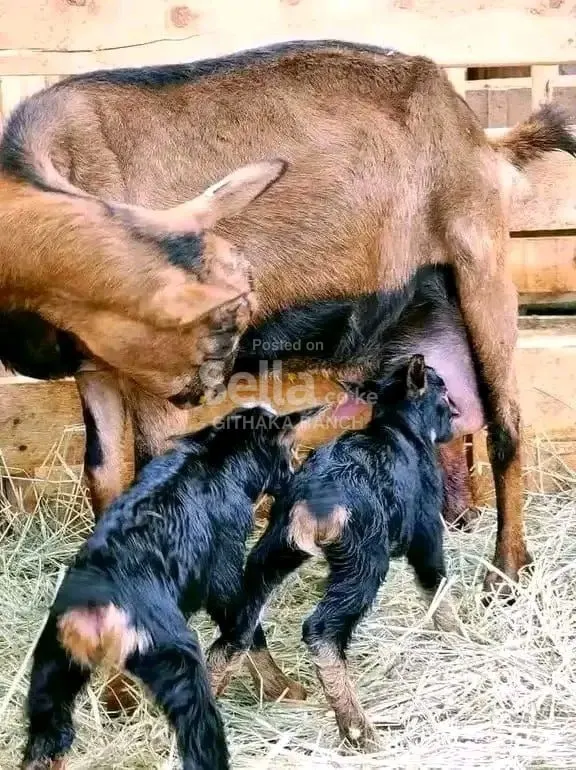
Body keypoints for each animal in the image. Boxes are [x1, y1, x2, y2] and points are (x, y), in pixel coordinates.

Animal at [2, 40, 575, 598]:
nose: (205, 385)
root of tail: (479, 136)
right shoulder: (95, 365)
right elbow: (102, 473)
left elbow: (151, 466)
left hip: (481, 262)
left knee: (506, 425)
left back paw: (506, 573)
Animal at [21, 403, 320, 770]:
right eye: (290, 450)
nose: (295, 477)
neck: (216, 456)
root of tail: (96, 611)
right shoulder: (224, 565)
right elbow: (243, 627)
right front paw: (284, 689)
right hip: (173, 664)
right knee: (200, 736)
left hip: (54, 666)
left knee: (48, 739)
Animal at [207, 356, 460, 750]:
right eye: (444, 391)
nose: (457, 416)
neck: (399, 428)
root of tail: (313, 501)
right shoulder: (426, 528)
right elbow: (435, 581)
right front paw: (457, 635)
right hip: (363, 559)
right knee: (321, 629)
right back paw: (358, 731)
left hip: (273, 549)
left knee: (240, 621)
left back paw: (268, 689)